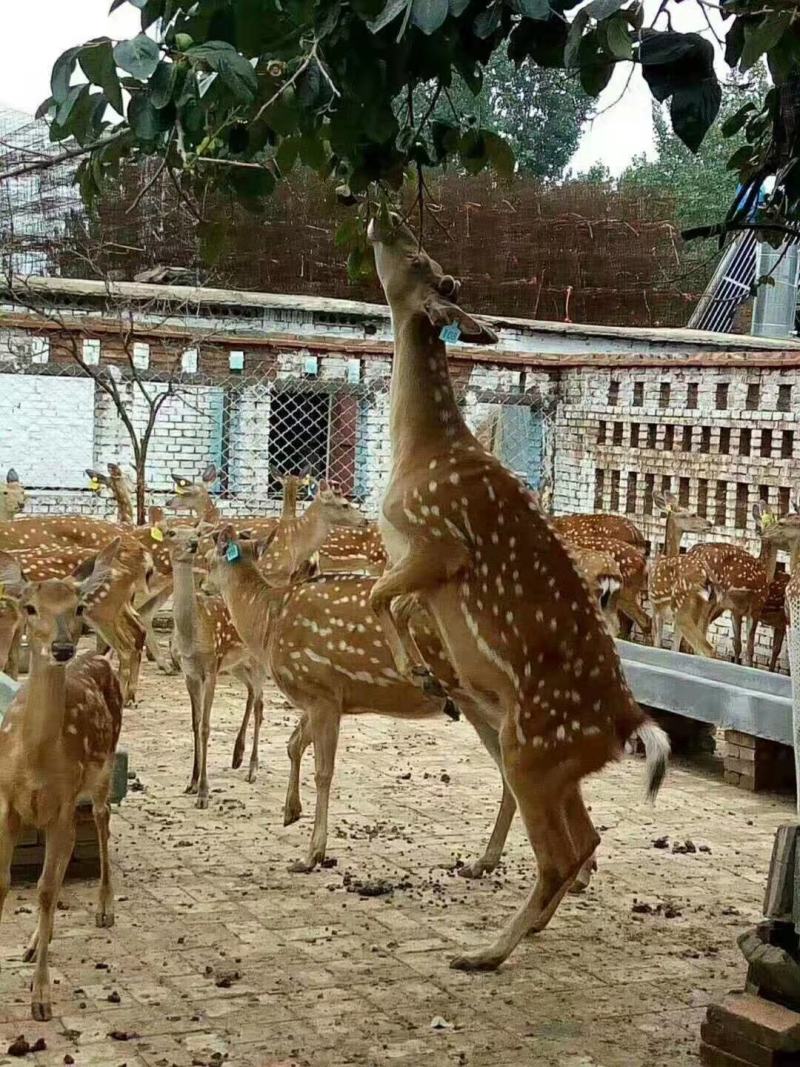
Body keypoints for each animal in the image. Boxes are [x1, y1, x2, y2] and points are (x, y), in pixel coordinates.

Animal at [0, 552, 123, 1021]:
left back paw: (105, 908)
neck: (34, 762)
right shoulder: (7, 805)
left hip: (102, 771)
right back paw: (36, 942)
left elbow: (47, 889)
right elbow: (9, 884)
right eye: (30, 607)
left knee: (103, 822)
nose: (63, 648)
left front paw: (40, 998)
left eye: (79, 607)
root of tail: (99, 658)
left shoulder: (63, 802)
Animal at [164, 524, 266, 805]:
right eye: (171, 532)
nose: (191, 544)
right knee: (251, 694)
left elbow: (206, 727)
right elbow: (194, 723)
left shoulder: (210, 667)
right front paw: (191, 782)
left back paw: (252, 769)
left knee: (260, 705)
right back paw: (237, 757)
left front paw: (203, 792)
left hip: (256, 662)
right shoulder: (189, 673)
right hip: (235, 665)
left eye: (196, 532)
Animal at [364, 212, 669, 971]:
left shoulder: (439, 542)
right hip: (555, 762)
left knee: (561, 852)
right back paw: (522, 929)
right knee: (587, 838)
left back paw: (485, 951)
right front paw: (426, 674)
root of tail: (626, 722)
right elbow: (393, 601)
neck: (417, 454)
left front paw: (418, 672)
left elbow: (379, 596)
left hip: (532, 746)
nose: (384, 211)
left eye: (419, 257)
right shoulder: (422, 571)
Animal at [648, 492, 716, 656]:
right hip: (705, 613)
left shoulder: (655, 607)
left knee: (707, 649)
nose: (709, 523)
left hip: (682, 609)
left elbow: (657, 645)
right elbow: (674, 648)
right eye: (692, 514)